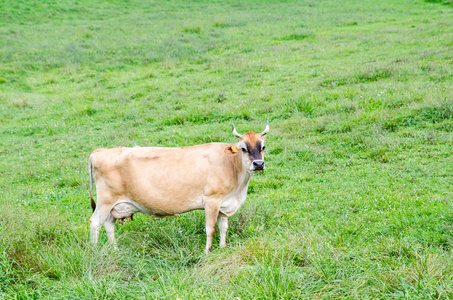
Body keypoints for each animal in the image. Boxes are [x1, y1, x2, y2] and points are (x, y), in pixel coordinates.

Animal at [89, 120, 268, 252]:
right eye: (243, 148)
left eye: (263, 147)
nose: (258, 164)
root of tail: (100, 151)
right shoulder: (211, 200)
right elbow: (210, 228)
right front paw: (207, 251)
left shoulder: (224, 203)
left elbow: (224, 227)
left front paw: (223, 248)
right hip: (105, 201)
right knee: (95, 222)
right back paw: (95, 251)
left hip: (114, 206)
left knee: (109, 225)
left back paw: (115, 250)